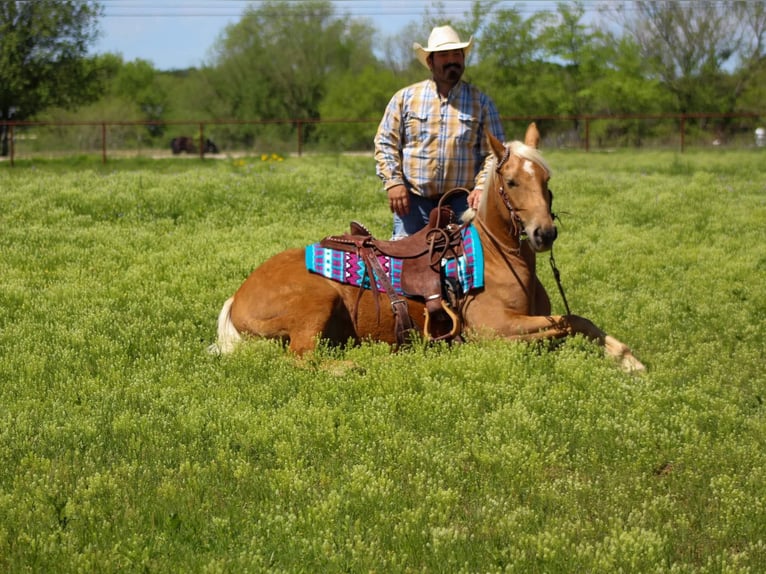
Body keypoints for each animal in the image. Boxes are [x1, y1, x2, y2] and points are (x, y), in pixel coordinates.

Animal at [212, 121, 648, 374]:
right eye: (511, 182)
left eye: (546, 179)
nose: (544, 234)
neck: (498, 260)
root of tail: (236, 298)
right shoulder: (493, 329)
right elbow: (562, 325)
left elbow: (577, 321)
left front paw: (627, 359)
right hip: (316, 304)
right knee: (302, 359)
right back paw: (358, 364)